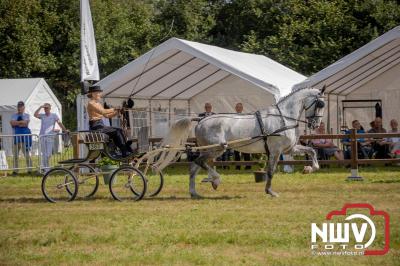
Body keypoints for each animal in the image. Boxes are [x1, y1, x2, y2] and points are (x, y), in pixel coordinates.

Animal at [158, 87, 326, 197]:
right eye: (320, 104)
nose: (316, 125)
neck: (283, 117)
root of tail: (201, 119)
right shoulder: (276, 151)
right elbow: (270, 171)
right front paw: (270, 191)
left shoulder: (289, 149)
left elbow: (312, 151)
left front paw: (308, 169)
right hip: (216, 149)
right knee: (200, 163)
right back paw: (215, 180)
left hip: (208, 150)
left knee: (194, 166)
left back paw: (194, 192)